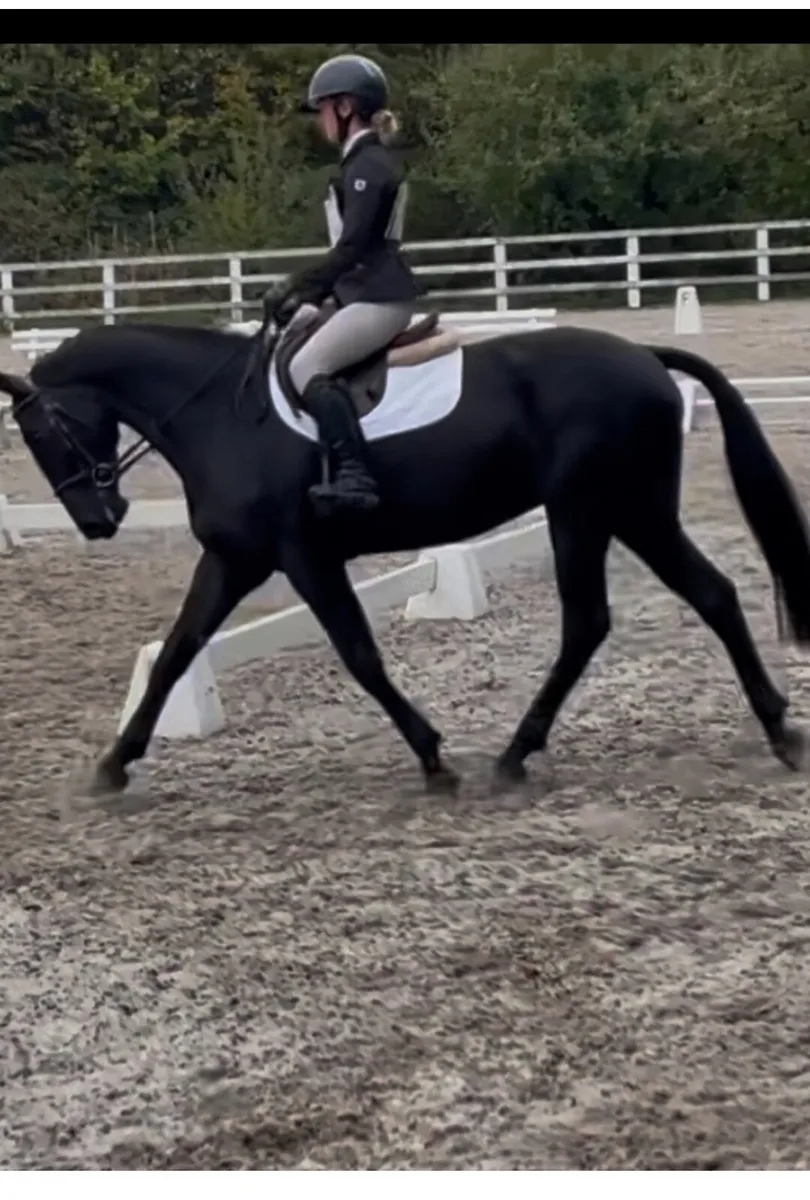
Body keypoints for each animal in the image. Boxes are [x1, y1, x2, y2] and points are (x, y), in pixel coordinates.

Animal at [2, 312, 810, 799]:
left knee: (591, 620)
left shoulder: (300, 555)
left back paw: (516, 753)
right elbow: (175, 653)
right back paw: (776, 728)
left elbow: (360, 654)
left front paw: (432, 756)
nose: (100, 521)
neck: (222, 416)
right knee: (709, 595)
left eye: (38, 433)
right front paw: (113, 764)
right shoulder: (237, 559)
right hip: (630, 513)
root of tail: (643, 354)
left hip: (590, 510)